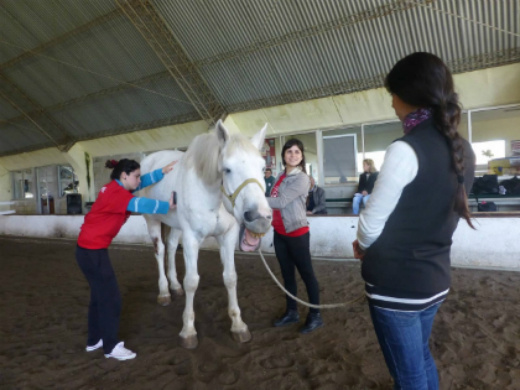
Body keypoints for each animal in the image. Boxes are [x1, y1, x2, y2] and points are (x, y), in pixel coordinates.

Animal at [138, 120, 272, 348]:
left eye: (263, 167)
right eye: (227, 169)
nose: (259, 217)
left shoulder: (227, 236)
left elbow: (230, 277)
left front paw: (238, 325)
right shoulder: (191, 238)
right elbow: (192, 281)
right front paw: (188, 330)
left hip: (175, 225)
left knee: (171, 247)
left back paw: (174, 286)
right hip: (153, 221)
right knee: (160, 251)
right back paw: (164, 292)